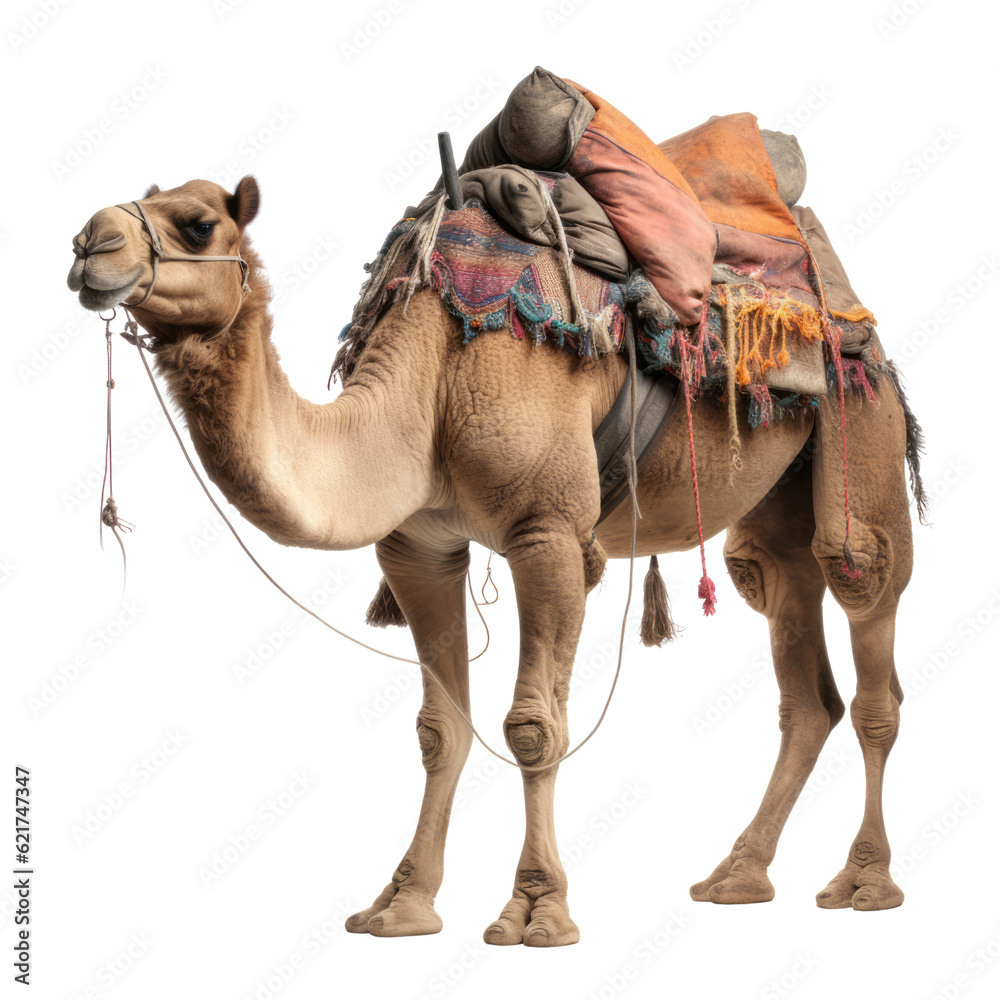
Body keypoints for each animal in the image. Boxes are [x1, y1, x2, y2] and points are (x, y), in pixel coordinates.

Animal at [67, 176, 918, 946]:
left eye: (198, 222)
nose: (88, 243)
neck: (431, 380)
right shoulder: (418, 546)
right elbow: (440, 729)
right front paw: (401, 905)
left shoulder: (549, 533)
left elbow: (532, 726)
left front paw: (536, 911)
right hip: (772, 506)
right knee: (792, 641)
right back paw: (738, 874)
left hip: (860, 418)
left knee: (861, 596)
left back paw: (865, 883)